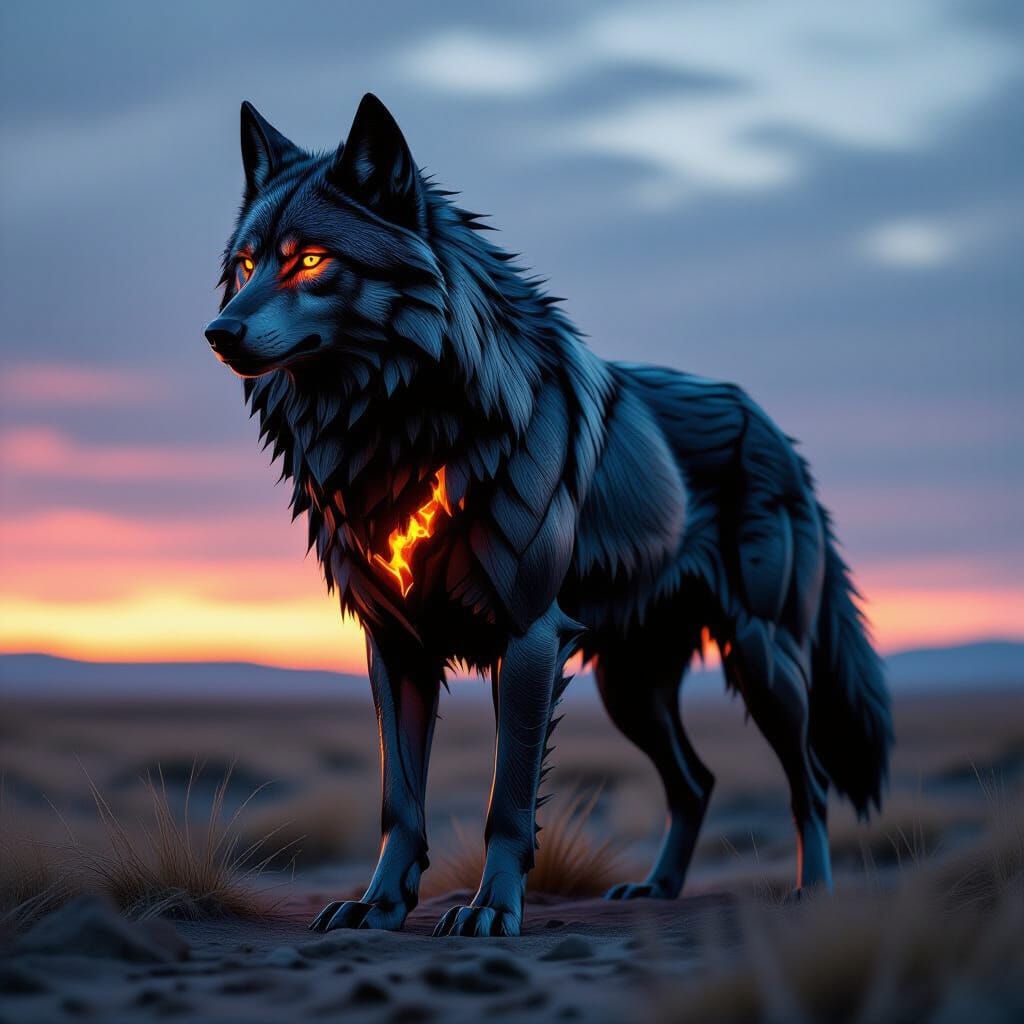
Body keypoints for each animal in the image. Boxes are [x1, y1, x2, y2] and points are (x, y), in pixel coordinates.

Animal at [205, 94, 892, 937]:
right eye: (246, 265)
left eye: (308, 261)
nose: (219, 334)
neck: (398, 428)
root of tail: (775, 429)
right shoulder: (395, 646)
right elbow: (400, 800)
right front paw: (379, 904)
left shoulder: (528, 637)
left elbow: (507, 801)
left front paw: (490, 911)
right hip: (632, 689)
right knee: (695, 781)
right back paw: (656, 888)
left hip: (765, 660)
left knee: (810, 780)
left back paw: (813, 893)